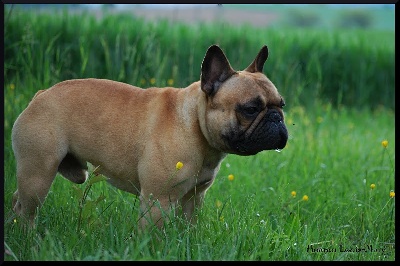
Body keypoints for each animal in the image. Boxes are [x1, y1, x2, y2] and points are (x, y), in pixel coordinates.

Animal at [11, 44, 288, 230]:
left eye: (282, 105)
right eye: (250, 109)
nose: (276, 118)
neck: (194, 126)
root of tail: (41, 95)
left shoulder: (193, 198)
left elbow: (189, 228)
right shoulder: (158, 200)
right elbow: (155, 237)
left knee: (17, 201)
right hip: (38, 173)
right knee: (27, 209)